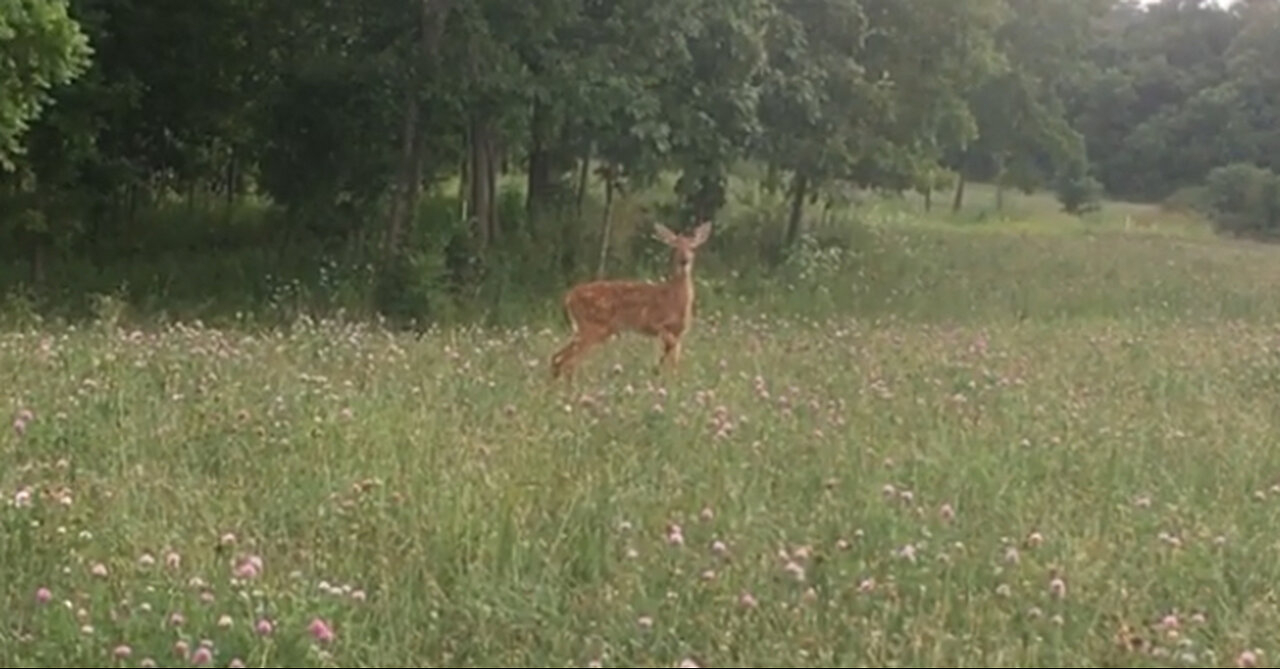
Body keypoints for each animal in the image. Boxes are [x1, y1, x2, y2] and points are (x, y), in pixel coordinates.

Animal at [547, 221, 716, 381]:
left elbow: (674, 362)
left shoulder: (680, 332)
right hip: (593, 327)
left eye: (693, 248)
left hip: (587, 329)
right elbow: (668, 352)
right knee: (567, 361)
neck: (675, 300)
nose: (684, 260)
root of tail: (569, 297)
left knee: (559, 358)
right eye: (674, 247)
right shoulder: (654, 322)